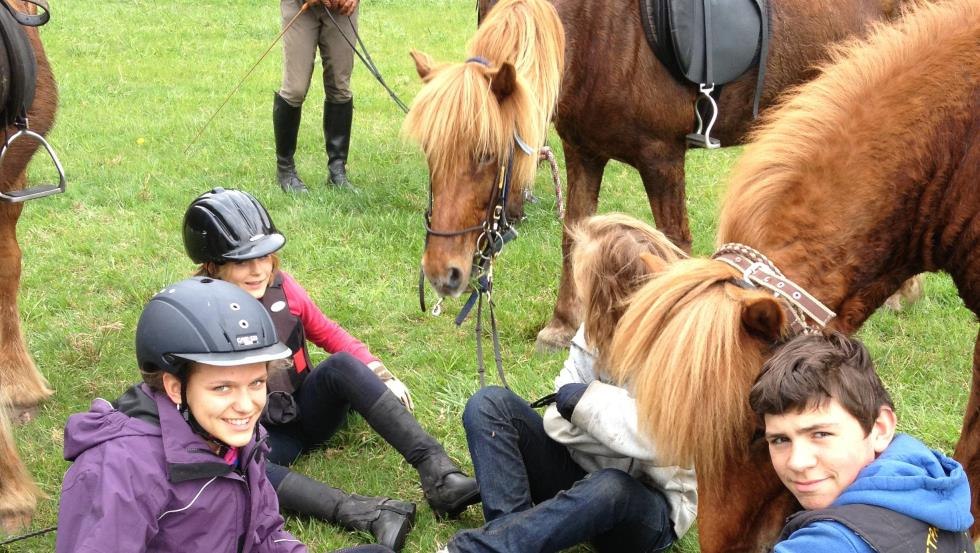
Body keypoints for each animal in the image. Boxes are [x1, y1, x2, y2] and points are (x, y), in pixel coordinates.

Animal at [474, 0, 920, 352]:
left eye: (487, 154)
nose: (461, 270)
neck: (598, 28)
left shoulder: (661, 156)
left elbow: (673, 240)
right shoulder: (584, 151)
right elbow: (573, 236)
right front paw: (562, 327)